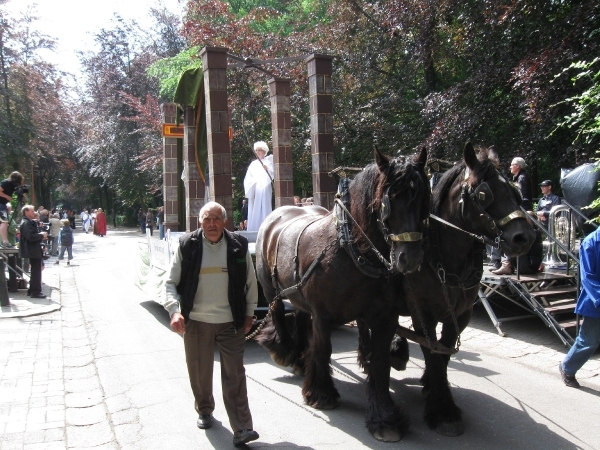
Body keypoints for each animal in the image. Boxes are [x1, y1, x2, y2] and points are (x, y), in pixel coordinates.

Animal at [258, 149, 432, 442]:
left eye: (423, 198)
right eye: (390, 199)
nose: (410, 258)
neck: (350, 249)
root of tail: (278, 213)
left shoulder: (385, 318)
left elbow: (380, 362)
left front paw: (384, 417)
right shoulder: (322, 316)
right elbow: (323, 349)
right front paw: (321, 394)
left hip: (299, 294)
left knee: (300, 317)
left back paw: (301, 360)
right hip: (271, 289)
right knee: (278, 313)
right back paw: (286, 352)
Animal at [358, 143, 536, 436]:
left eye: (515, 191)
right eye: (483, 194)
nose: (524, 237)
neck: (444, 258)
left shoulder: (461, 315)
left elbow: (445, 351)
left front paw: (433, 387)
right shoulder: (424, 314)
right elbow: (432, 353)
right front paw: (443, 410)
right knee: (364, 322)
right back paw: (370, 355)